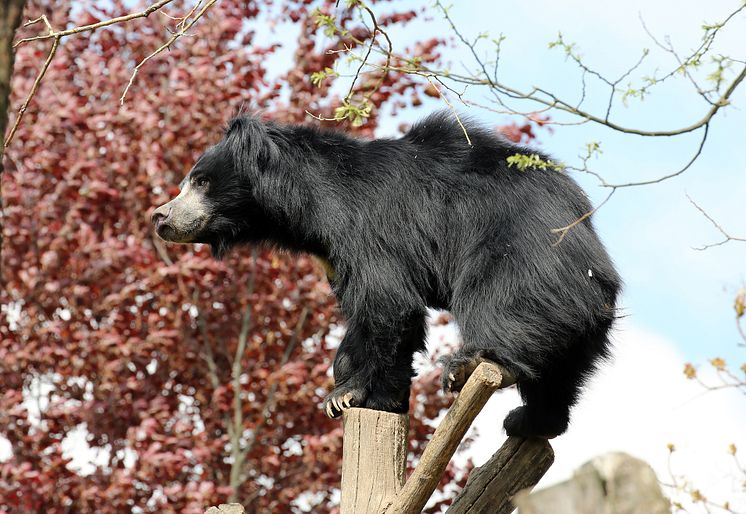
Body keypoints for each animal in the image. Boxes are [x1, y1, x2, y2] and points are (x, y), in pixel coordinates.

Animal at [150, 112, 616, 436]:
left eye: (201, 182)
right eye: (188, 183)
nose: (160, 217)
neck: (304, 210)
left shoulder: (363, 226)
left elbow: (387, 302)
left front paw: (352, 393)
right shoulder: (333, 255)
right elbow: (370, 317)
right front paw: (359, 392)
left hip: (521, 255)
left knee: (502, 302)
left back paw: (470, 364)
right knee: (562, 365)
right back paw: (534, 420)